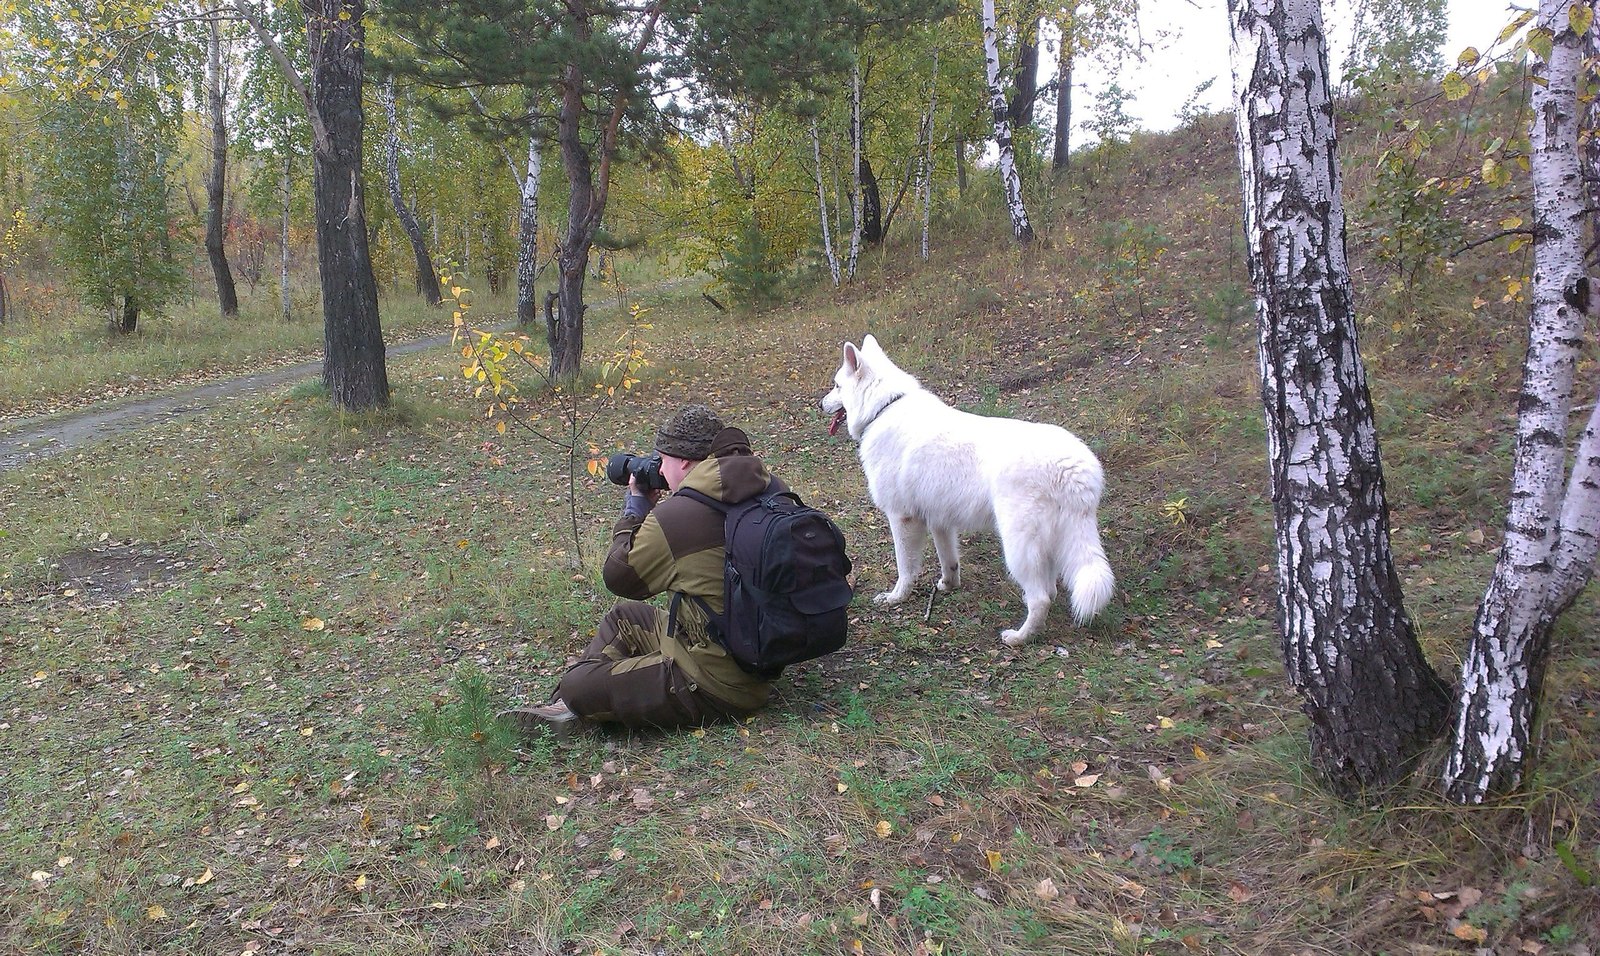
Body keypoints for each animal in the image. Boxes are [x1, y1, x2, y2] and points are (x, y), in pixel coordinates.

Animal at [825, 337, 1113, 652]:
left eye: (837, 386)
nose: (821, 403)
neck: (884, 407)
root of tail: (1074, 467)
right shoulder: (939, 521)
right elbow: (948, 560)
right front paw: (948, 585)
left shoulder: (902, 518)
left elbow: (906, 568)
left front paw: (895, 598)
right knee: (1048, 589)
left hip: (1017, 547)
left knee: (1040, 599)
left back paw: (1020, 637)